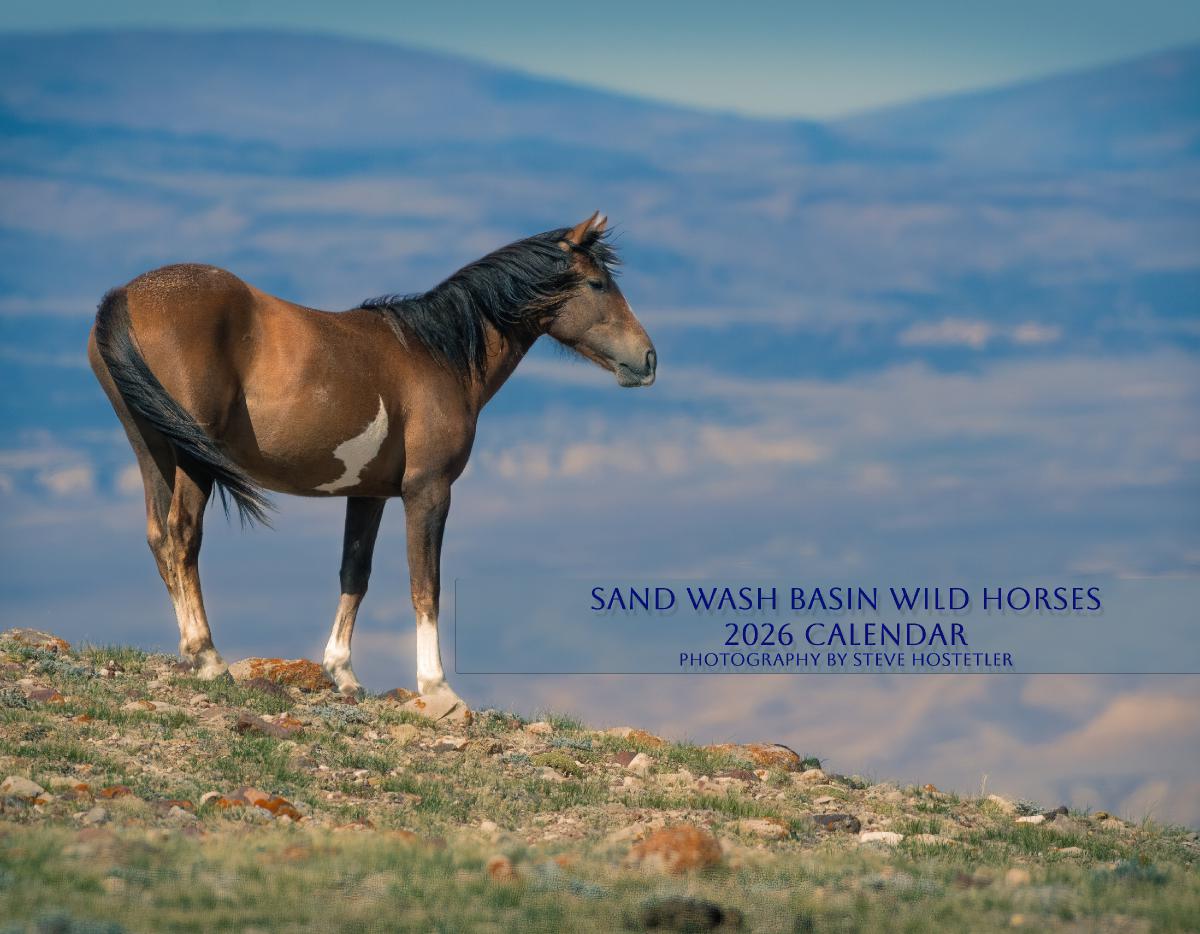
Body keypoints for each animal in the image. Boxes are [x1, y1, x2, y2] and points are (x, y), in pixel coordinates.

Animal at [88, 212, 656, 708]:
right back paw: (207, 656)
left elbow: (354, 573)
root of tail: (125, 297)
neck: (438, 354)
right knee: (182, 536)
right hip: (193, 460)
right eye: (597, 284)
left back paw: (192, 655)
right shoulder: (428, 490)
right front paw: (437, 687)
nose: (647, 359)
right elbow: (426, 585)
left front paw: (343, 673)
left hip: (153, 450)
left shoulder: (368, 494)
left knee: (160, 538)